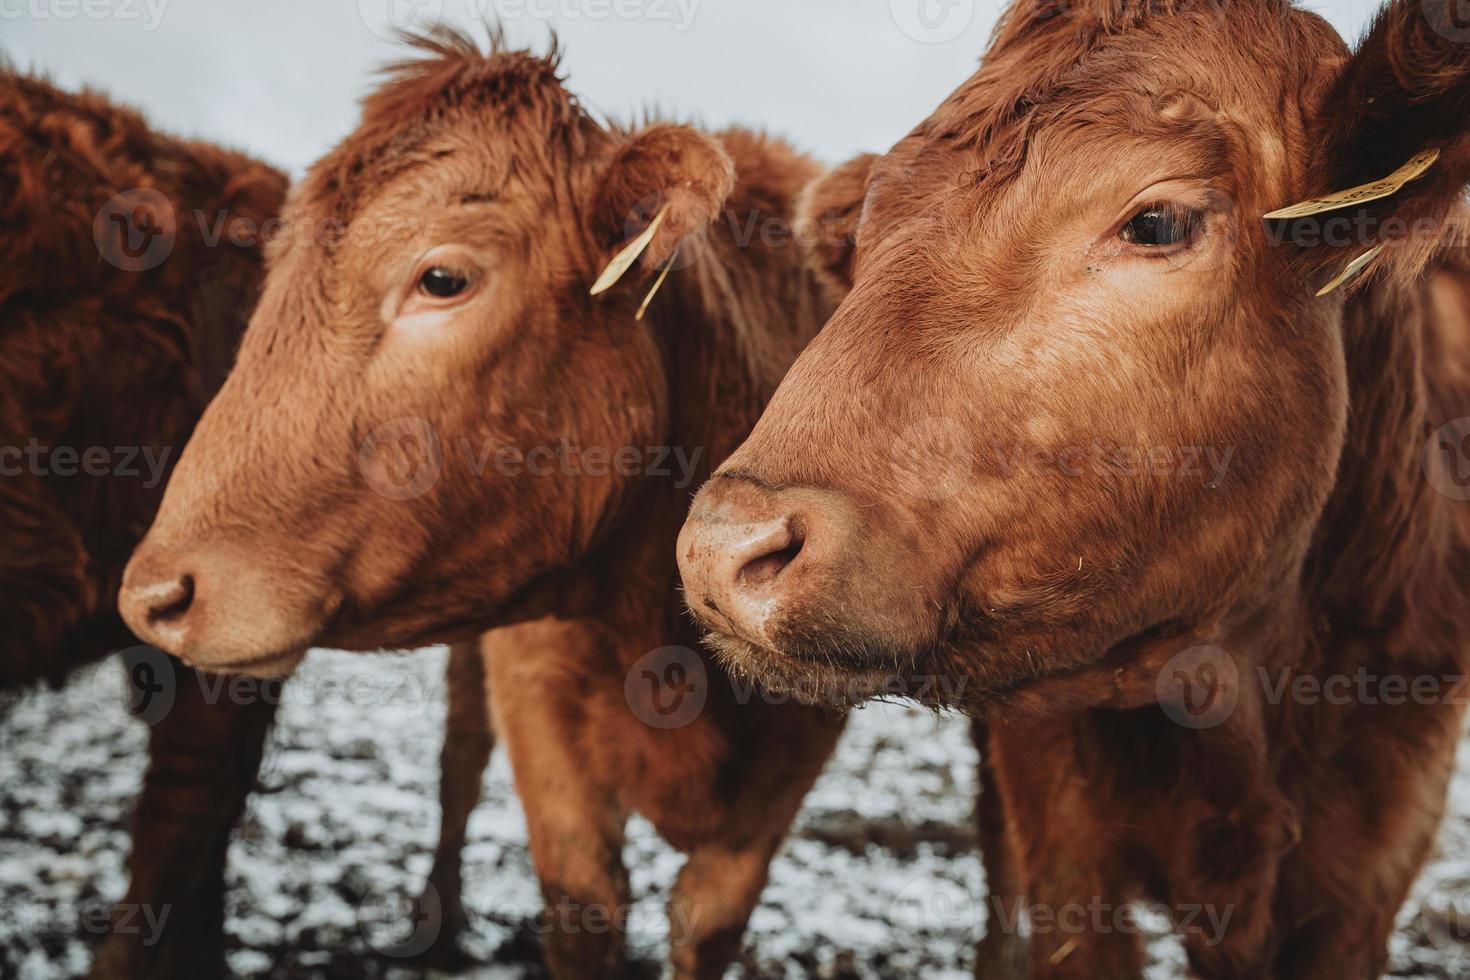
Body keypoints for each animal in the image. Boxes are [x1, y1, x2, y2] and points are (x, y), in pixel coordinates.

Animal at [123, 30, 852, 980]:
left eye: (441, 278)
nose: (155, 595)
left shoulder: (796, 751)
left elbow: (708, 923)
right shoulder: (537, 702)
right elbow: (582, 904)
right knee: (460, 760)